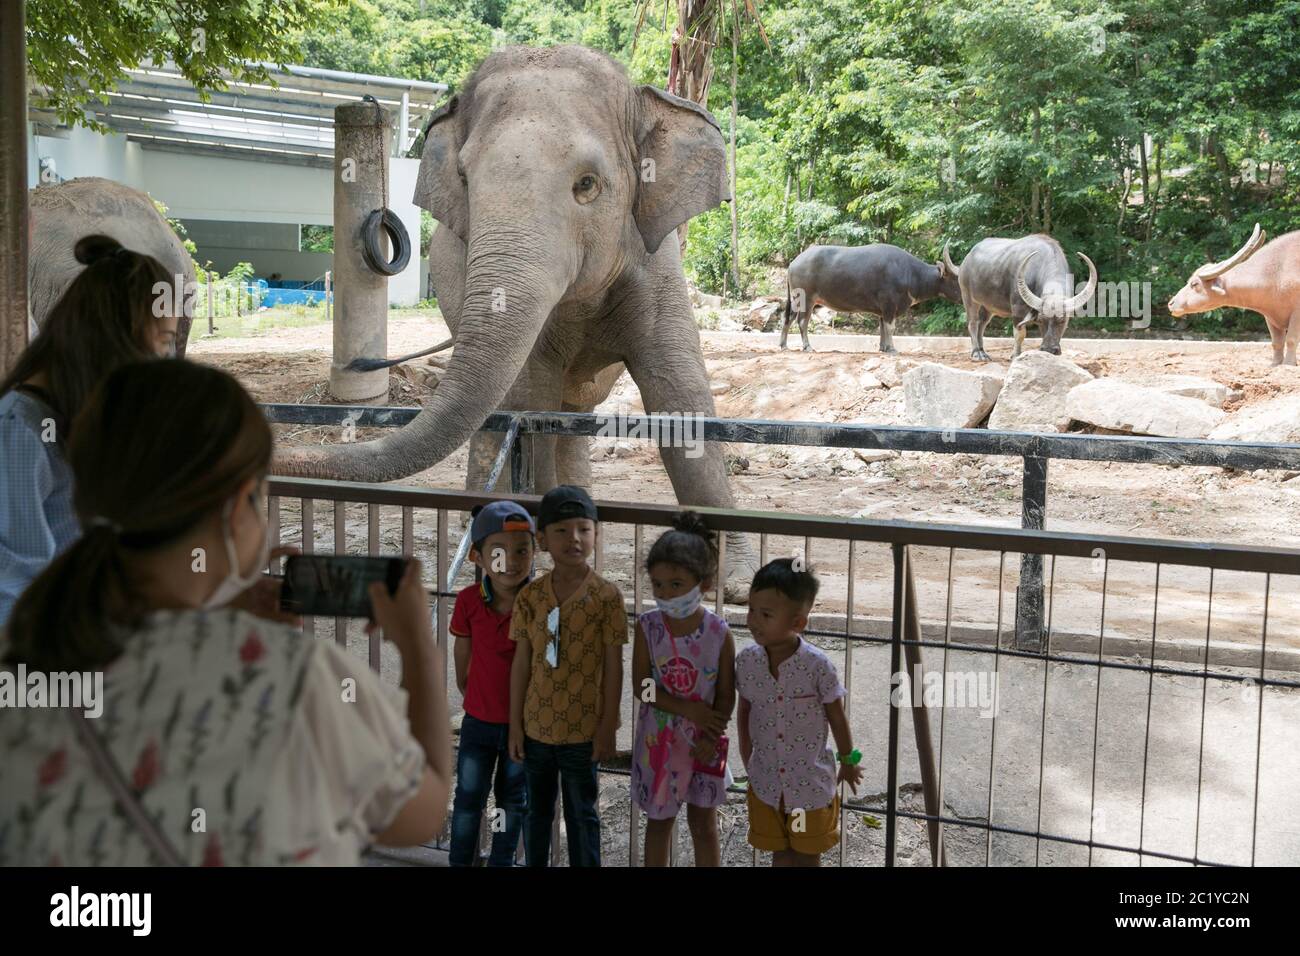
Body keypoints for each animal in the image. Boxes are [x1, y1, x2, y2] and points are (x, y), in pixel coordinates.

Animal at [275, 46, 759, 598]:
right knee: (507, 407)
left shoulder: (655, 263)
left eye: (587, 185)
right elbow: (533, 397)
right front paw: (552, 544)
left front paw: (738, 582)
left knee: (573, 411)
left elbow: (680, 392)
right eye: (465, 181)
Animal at [774, 244, 961, 353]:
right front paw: (892, 349)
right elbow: (890, 327)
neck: (910, 273)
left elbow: (882, 328)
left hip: (797, 300)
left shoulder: (883, 309)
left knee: (787, 319)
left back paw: (783, 345)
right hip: (807, 300)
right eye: (956, 279)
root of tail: (793, 263)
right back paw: (807, 346)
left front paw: (883, 347)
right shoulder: (889, 304)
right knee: (802, 321)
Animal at [951, 235, 1102, 361]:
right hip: (968, 297)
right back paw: (977, 353)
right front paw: (1016, 355)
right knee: (973, 323)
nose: (1048, 349)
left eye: (1062, 320)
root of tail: (966, 261)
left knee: (982, 324)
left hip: (988, 306)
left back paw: (983, 351)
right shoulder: (1018, 308)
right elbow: (1020, 333)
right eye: (1041, 320)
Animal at [1164, 223, 1294, 366]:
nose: (1171, 303)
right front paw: (1275, 364)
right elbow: (1277, 342)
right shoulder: (1270, 316)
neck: (1275, 275)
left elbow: (1291, 339)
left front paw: (1289, 364)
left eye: (1195, 284)